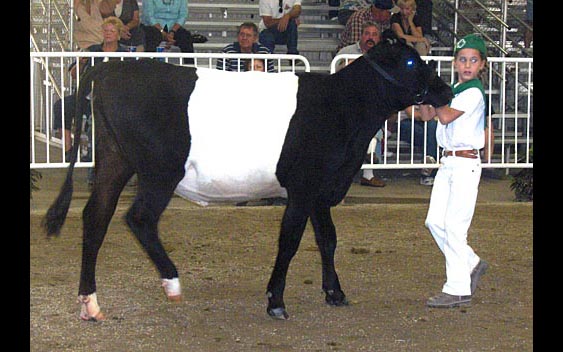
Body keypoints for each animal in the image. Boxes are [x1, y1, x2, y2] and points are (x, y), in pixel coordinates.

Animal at [41, 33, 454, 322]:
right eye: (411, 59)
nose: (446, 89)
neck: (343, 108)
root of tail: (111, 67)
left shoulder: (321, 189)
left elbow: (328, 240)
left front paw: (334, 293)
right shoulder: (303, 186)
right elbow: (289, 241)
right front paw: (276, 301)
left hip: (115, 160)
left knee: (96, 218)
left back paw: (90, 305)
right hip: (160, 170)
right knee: (138, 218)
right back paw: (172, 282)